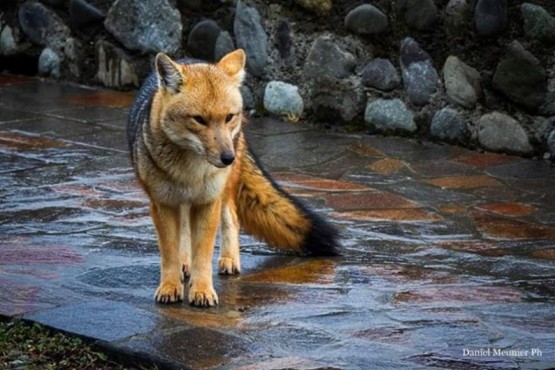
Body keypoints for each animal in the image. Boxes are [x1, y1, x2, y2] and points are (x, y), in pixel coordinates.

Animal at [128, 50, 340, 308]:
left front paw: (202, 290)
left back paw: (229, 260)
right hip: (184, 203)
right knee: (185, 233)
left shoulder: (208, 203)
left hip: (223, 193)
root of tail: (191, 57)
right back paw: (185, 264)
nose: (228, 158)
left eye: (228, 117)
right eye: (199, 119)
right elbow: (170, 253)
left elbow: (203, 255)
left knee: (232, 218)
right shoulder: (163, 204)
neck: (189, 171)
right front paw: (170, 285)